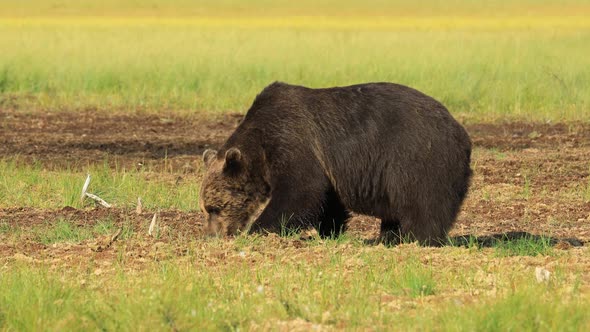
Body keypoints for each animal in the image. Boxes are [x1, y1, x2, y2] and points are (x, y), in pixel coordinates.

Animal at [201, 81, 474, 245]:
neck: (259, 147)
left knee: (422, 203)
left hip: (417, 157)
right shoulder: (325, 166)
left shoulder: (293, 140)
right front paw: (330, 231)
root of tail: (461, 131)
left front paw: (259, 230)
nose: (213, 235)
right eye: (207, 208)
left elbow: (299, 192)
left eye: (215, 207)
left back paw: (417, 238)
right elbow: (327, 201)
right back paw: (387, 236)